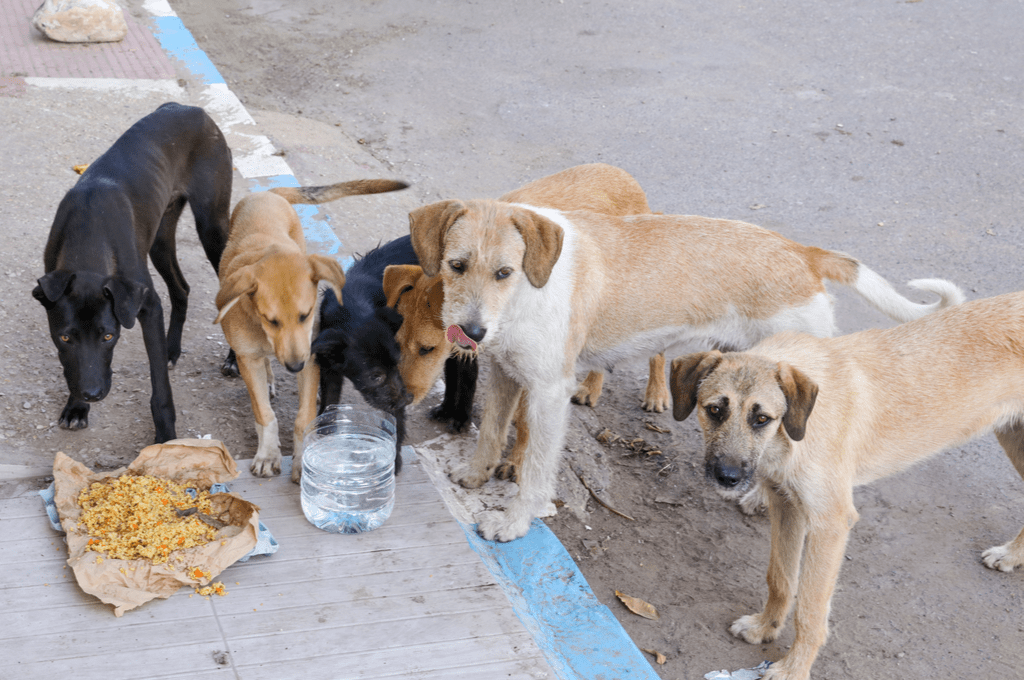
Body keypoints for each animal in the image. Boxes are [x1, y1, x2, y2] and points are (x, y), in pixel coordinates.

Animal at [33, 99, 233, 440]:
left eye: (108, 336)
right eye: (65, 338)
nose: (92, 394)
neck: (89, 232)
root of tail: (190, 108)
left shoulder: (147, 305)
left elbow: (159, 385)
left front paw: (166, 435)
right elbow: (73, 367)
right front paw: (76, 407)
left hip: (213, 228)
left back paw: (234, 359)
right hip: (160, 239)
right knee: (181, 288)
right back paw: (171, 349)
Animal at [309, 233, 417, 473]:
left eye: (397, 363)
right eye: (374, 376)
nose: (405, 401)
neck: (353, 306)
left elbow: (395, 422)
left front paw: (394, 458)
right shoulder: (329, 366)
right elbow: (330, 397)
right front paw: (325, 430)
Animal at [411, 197, 962, 540]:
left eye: (504, 272)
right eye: (456, 266)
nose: (471, 333)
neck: (528, 290)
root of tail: (802, 253)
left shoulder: (548, 392)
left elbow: (533, 470)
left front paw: (514, 522)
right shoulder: (506, 374)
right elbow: (490, 432)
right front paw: (475, 475)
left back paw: (760, 499)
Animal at [667, 290, 1024, 680]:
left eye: (761, 419)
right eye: (714, 410)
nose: (727, 477)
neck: (795, 429)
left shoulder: (830, 524)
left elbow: (810, 610)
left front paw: (794, 669)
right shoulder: (787, 506)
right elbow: (781, 579)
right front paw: (765, 627)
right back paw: (1013, 555)